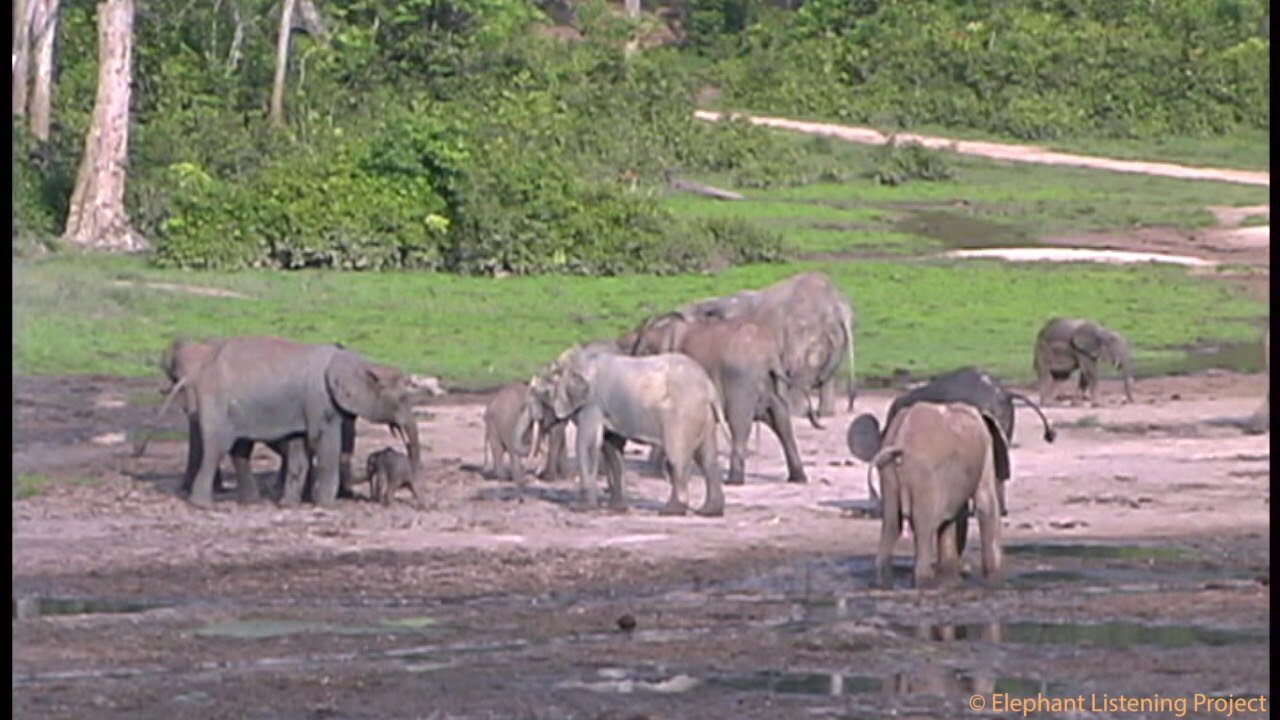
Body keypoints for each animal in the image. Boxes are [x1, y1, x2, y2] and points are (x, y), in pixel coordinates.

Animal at [532, 345, 732, 512]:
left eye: (542, 394)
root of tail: (709, 386)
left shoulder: (592, 404)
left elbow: (587, 446)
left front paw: (581, 509)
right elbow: (612, 448)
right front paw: (617, 509)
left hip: (682, 416)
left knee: (677, 457)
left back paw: (670, 510)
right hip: (704, 416)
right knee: (707, 458)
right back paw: (709, 512)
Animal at [629, 311, 819, 484]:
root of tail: (770, 357)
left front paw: (653, 474)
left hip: (741, 382)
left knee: (740, 423)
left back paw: (733, 481)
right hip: (772, 384)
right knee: (781, 420)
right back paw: (798, 478)